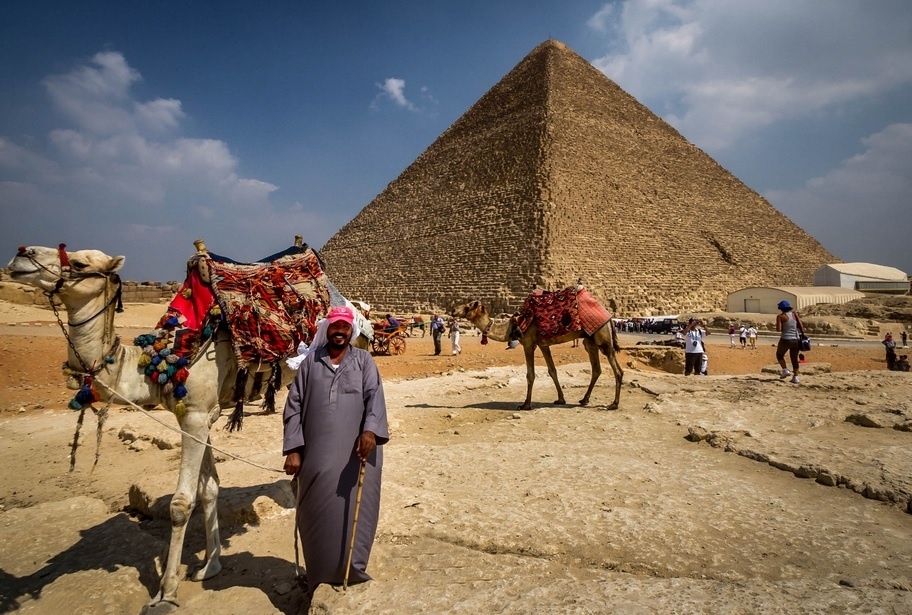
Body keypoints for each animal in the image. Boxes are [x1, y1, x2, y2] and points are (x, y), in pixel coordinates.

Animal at [6, 243, 356, 612]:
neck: (159, 363)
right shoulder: (193, 415)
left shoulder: (197, 416)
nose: (22, 254)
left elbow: (180, 503)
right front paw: (210, 566)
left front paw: (166, 594)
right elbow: (209, 489)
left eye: (78, 263)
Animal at [456, 298, 628, 410]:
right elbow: (552, 371)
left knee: (617, 370)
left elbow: (530, 374)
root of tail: (610, 318)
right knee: (596, 369)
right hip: (590, 342)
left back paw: (614, 404)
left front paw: (525, 404)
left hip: (603, 339)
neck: (514, 326)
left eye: (468, 306)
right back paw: (584, 399)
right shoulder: (543, 344)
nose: (453, 310)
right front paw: (560, 399)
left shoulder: (528, 344)